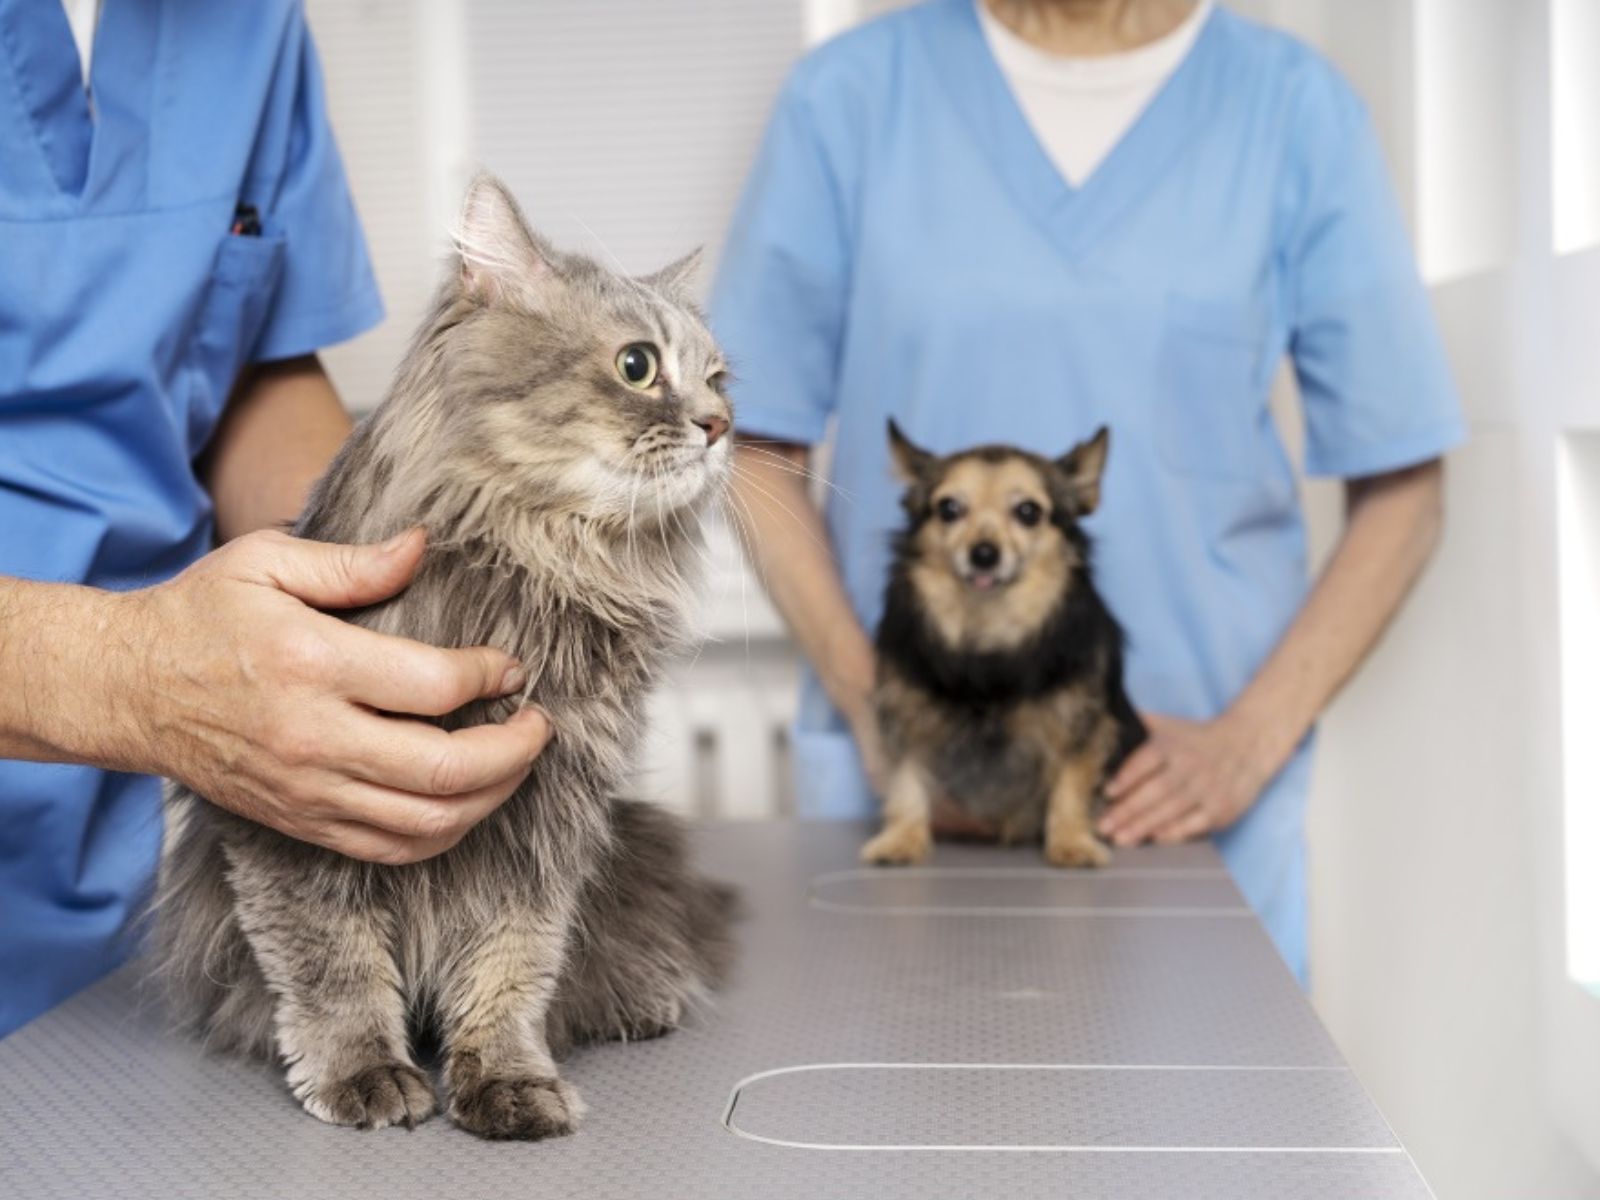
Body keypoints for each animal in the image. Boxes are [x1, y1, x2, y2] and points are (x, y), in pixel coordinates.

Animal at [864, 425, 1152, 876]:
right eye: (948, 509)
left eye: (1028, 512)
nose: (984, 554)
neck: (989, 631)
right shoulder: (905, 716)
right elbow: (906, 779)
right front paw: (901, 839)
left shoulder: (1082, 724)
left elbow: (1071, 784)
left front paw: (1071, 843)